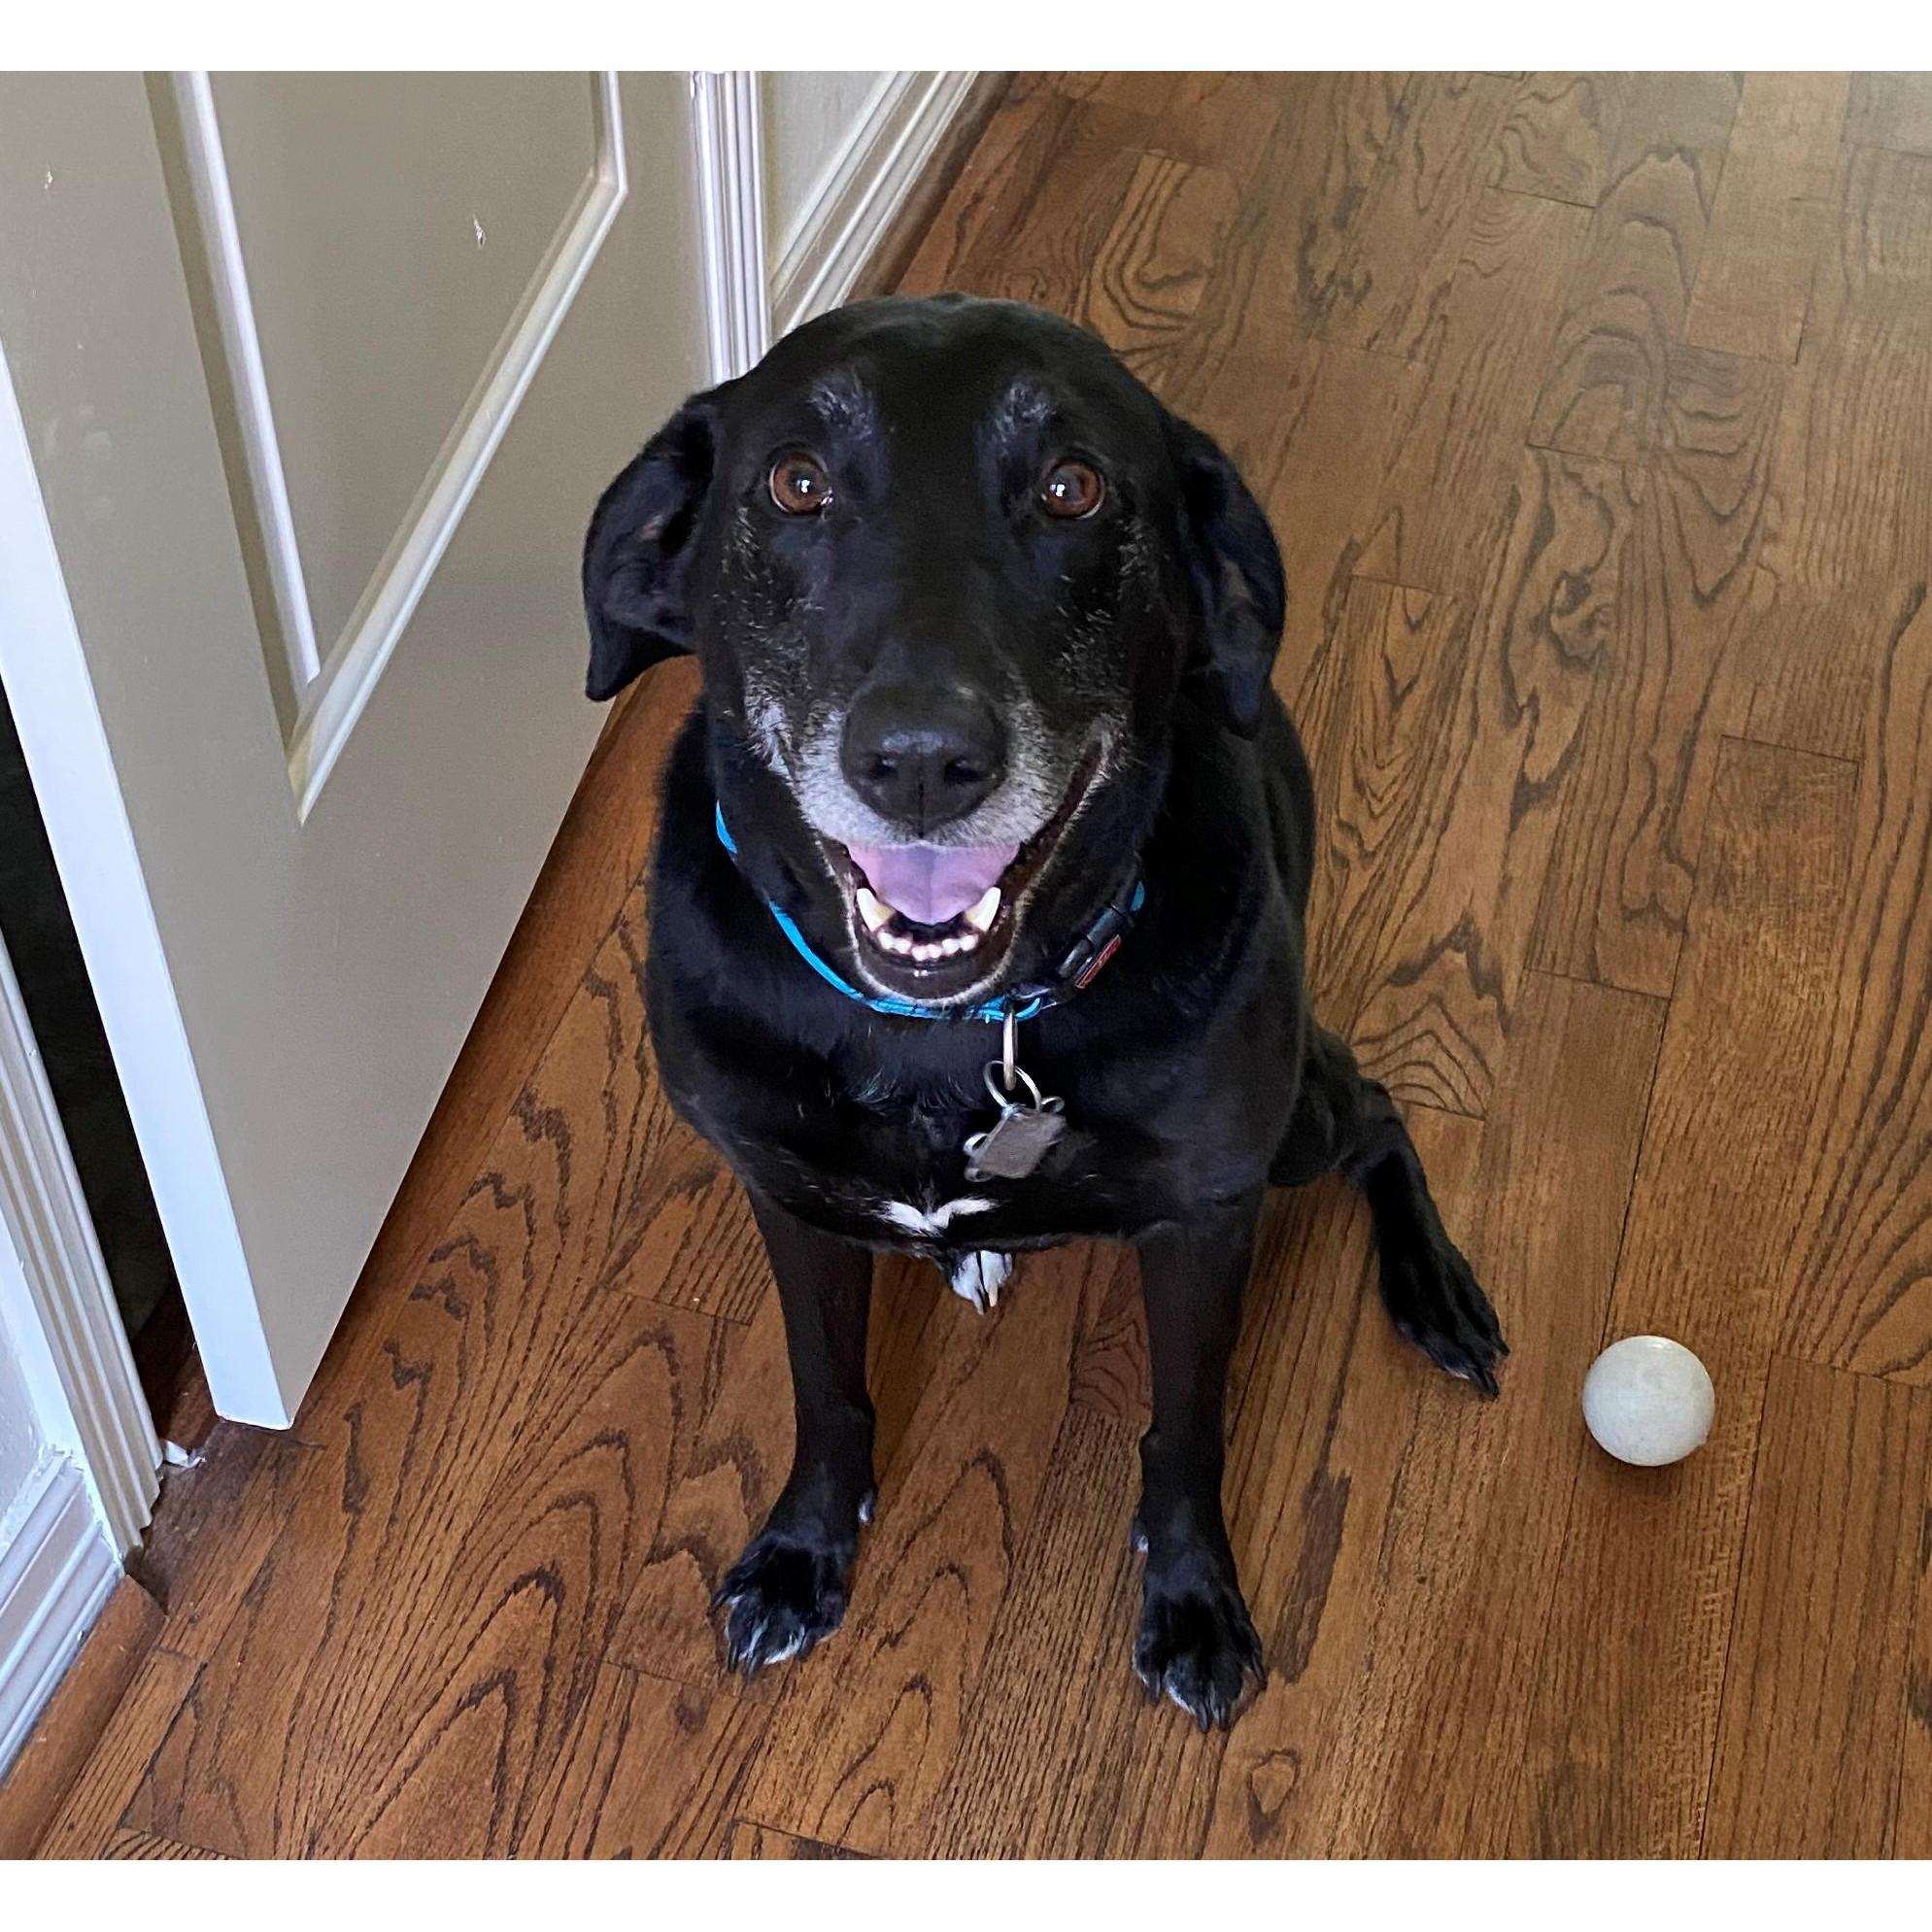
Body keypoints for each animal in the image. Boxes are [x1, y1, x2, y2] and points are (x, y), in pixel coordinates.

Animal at [579, 293, 1499, 1731]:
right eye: (795, 483)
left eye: (1072, 488)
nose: (918, 763)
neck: (946, 1039)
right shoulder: (787, 1197)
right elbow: (825, 1392)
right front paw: (802, 1551)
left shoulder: (1206, 1216)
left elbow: (1186, 1431)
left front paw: (1193, 1600)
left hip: (1297, 1118)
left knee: (1383, 1112)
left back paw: (1437, 1293)